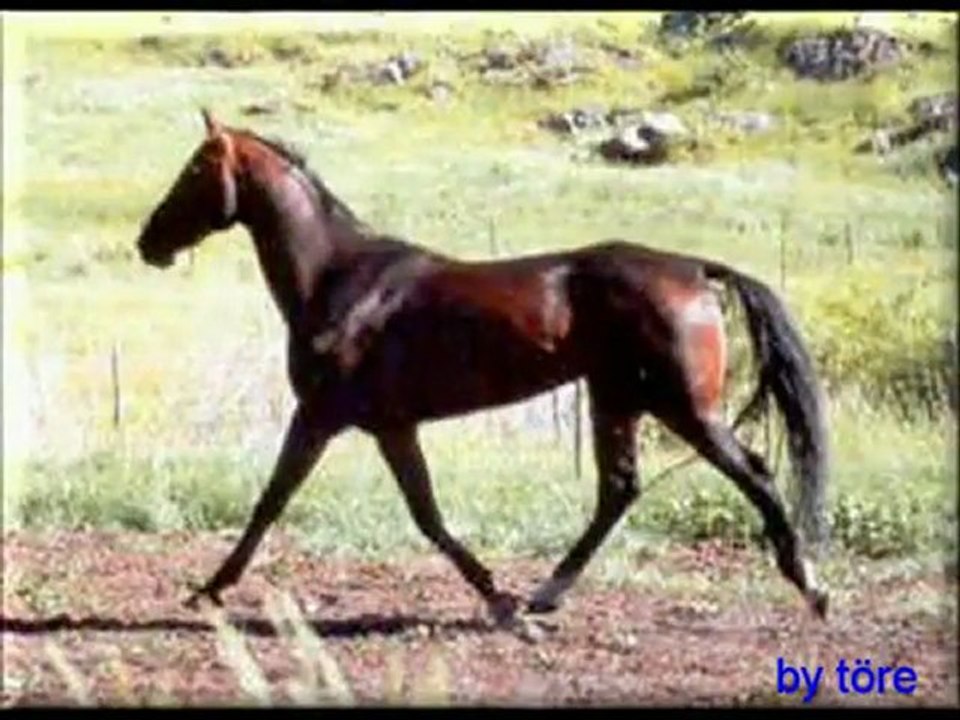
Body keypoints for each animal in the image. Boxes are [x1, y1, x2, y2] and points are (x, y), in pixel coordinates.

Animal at [135, 109, 831, 624]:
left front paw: (207, 589)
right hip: (616, 398)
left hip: (682, 405)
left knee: (753, 473)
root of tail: (694, 269)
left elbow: (276, 501)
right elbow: (424, 513)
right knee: (619, 489)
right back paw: (545, 594)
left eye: (196, 168)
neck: (339, 278)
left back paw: (811, 586)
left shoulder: (322, 414)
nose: (148, 242)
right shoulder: (391, 426)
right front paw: (499, 596)